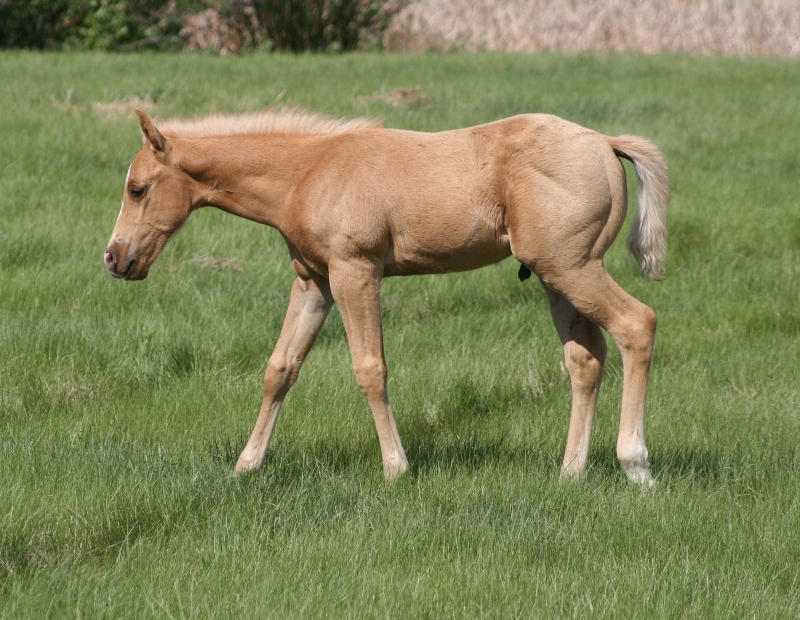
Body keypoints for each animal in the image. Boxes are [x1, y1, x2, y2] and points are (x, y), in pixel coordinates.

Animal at [104, 108, 669, 485]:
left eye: (137, 189)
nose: (114, 258)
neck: (309, 173)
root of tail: (605, 142)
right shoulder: (313, 282)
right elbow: (280, 368)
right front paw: (246, 466)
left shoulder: (355, 273)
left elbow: (370, 369)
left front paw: (396, 469)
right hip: (556, 276)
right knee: (585, 360)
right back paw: (570, 473)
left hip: (572, 267)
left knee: (637, 324)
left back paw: (635, 464)